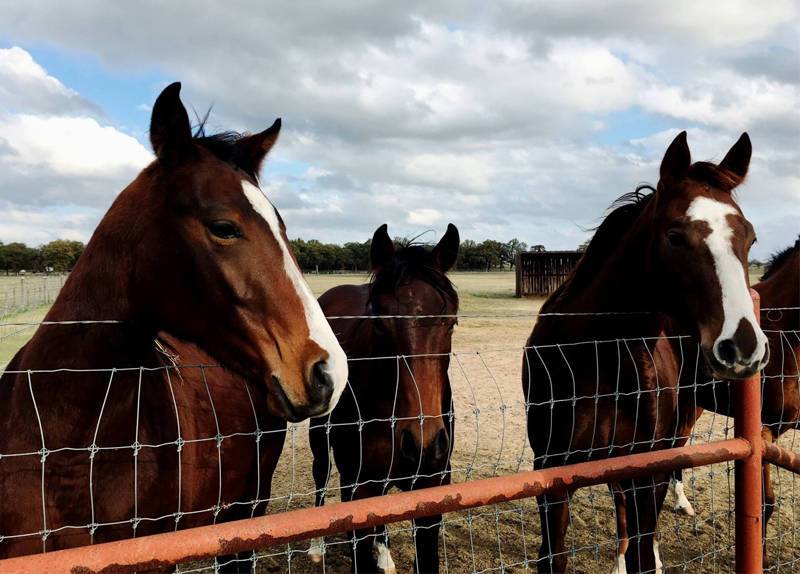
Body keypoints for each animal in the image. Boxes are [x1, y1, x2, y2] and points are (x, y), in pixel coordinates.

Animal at [308, 225, 460, 574]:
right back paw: (317, 547)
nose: (422, 445)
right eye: (379, 323)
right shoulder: (357, 489)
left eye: (451, 322)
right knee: (320, 473)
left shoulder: (430, 489)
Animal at [524, 132, 768, 574]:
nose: (742, 346)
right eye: (675, 236)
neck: (594, 356)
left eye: (750, 238)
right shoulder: (552, 474)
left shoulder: (646, 470)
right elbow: (555, 556)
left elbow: (643, 543)